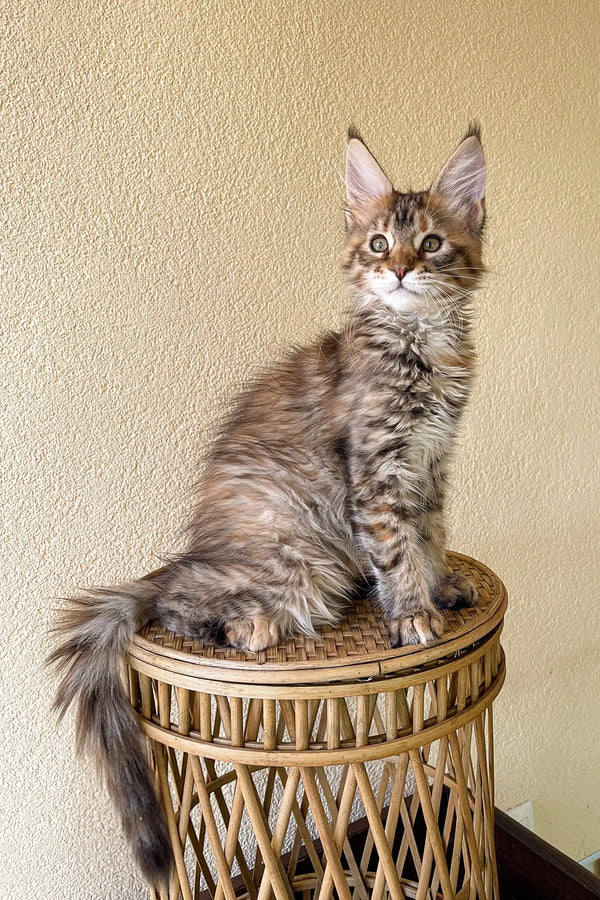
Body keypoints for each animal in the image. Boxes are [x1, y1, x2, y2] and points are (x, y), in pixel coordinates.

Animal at [49, 128, 486, 884]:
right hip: (293, 558)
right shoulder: (378, 472)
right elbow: (399, 550)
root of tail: (186, 557)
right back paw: (246, 628)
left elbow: (429, 536)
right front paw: (412, 617)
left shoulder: (431, 465)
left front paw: (441, 588)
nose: (400, 270)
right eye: (379, 244)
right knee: (177, 606)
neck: (420, 347)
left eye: (430, 244)